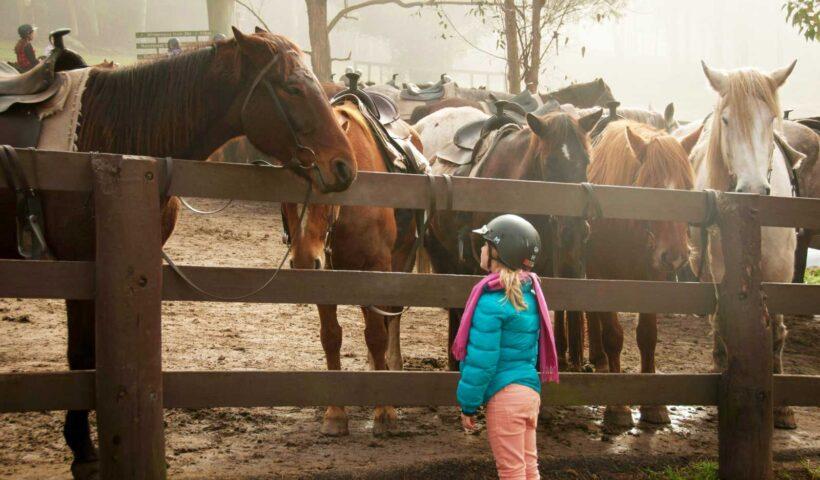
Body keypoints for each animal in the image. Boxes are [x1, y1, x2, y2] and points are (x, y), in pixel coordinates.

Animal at [0, 28, 358, 478]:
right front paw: (83, 449)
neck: (108, 140)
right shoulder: (79, 267)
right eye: (292, 88)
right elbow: (81, 355)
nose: (344, 167)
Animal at [284, 102, 422, 438]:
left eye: (330, 185)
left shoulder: (377, 269)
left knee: (391, 319)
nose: (304, 262)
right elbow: (331, 337)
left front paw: (385, 412)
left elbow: (376, 335)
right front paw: (335, 414)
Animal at [588, 119, 700, 428]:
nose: (675, 255)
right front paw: (618, 407)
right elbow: (613, 335)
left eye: (688, 188)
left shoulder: (653, 280)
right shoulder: (602, 278)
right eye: (650, 187)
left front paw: (653, 405)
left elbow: (648, 335)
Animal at [692, 58, 800, 430]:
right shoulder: (723, 268)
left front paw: (782, 408)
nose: (753, 188)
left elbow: (777, 330)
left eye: (770, 118)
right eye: (726, 120)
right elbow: (723, 321)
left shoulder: (782, 271)